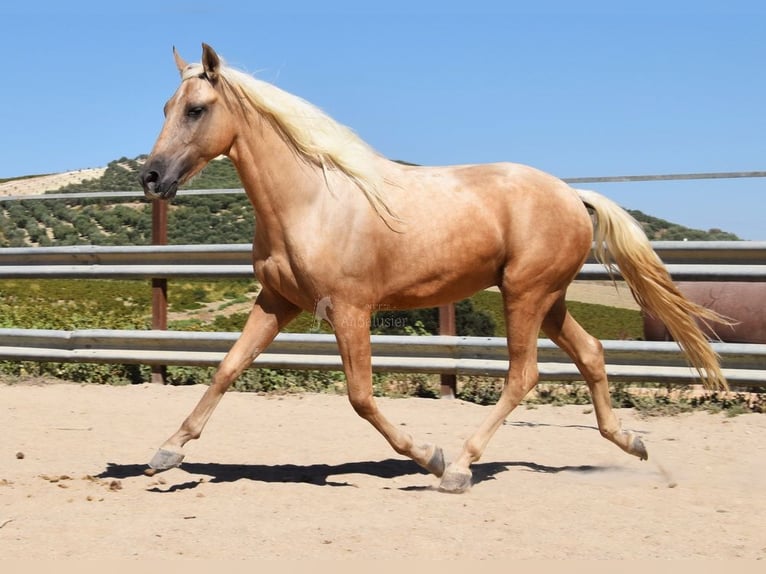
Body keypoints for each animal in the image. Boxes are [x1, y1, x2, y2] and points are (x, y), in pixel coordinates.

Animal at [140, 44, 732, 496]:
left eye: (196, 109)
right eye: (165, 105)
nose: (151, 177)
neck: (311, 202)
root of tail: (571, 194)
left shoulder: (349, 309)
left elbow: (360, 397)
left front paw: (431, 456)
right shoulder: (277, 302)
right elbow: (226, 368)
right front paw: (166, 452)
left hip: (525, 295)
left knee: (524, 375)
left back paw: (462, 468)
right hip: (549, 300)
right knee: (591, 353)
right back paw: (631, 442)